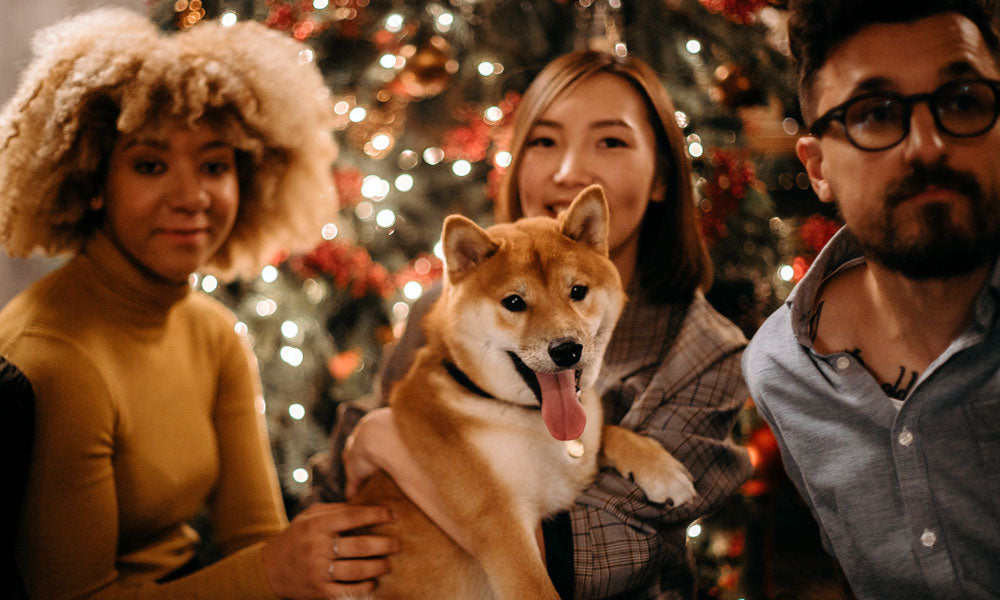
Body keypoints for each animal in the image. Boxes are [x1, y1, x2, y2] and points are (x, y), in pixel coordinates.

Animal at [350, 185, 696, 596]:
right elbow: (536, 587)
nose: (567, 349)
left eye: (578, 291)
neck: (518, 416)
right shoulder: (500, 523)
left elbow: (607, 430)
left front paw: (659, 467)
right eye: (514, 302)